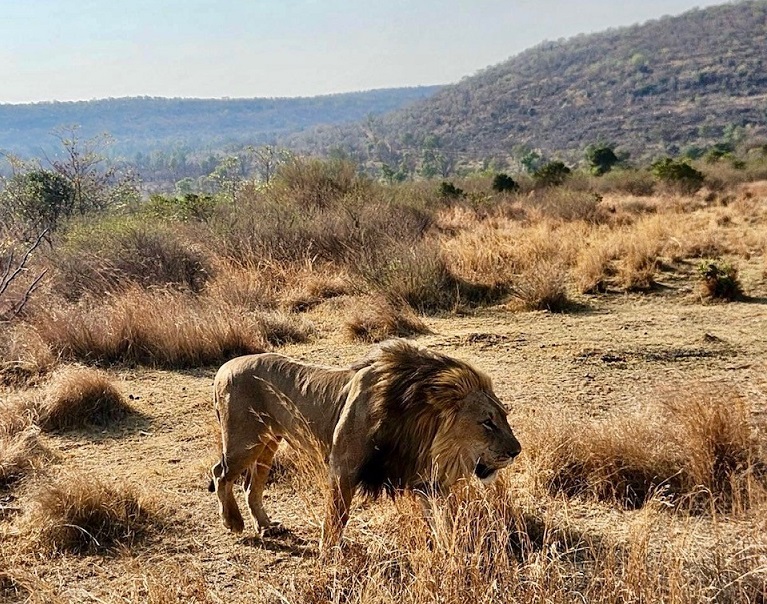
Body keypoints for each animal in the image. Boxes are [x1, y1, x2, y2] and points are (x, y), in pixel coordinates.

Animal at [209, 339, 521, 549]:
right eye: (487, 422)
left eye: (504, 416)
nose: (516, 452)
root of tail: (223, 367)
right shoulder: (343, 466)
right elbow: (337, 515)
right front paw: (329, 551)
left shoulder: (424, 478)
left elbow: (440, 517)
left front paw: (449, 547)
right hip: (244, 442)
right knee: (221, 474)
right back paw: (233, 522)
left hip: (267, 443)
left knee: (251, 485)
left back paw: (266, 526)